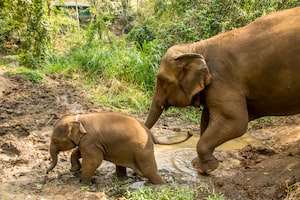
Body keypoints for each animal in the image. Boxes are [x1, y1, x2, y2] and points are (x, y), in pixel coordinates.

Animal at [46, 111, 191, 185]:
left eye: (55, 140)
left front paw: (84, 183)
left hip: (143, 152)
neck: (77, 118)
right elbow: (78, 151)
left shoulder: (90, 141)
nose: (47, 173)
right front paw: (74, 169)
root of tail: (149, 132)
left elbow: (94, 160)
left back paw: (160, 185)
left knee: (149, 170)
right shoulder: (88, 142)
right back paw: (119, 178)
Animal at [145, 7, 300, 174]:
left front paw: (206, 169)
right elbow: (206, 119)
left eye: (162, 80)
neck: (196, 47)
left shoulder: (223, 80)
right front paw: (198, 165)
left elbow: (235, 122)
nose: (188, 132)